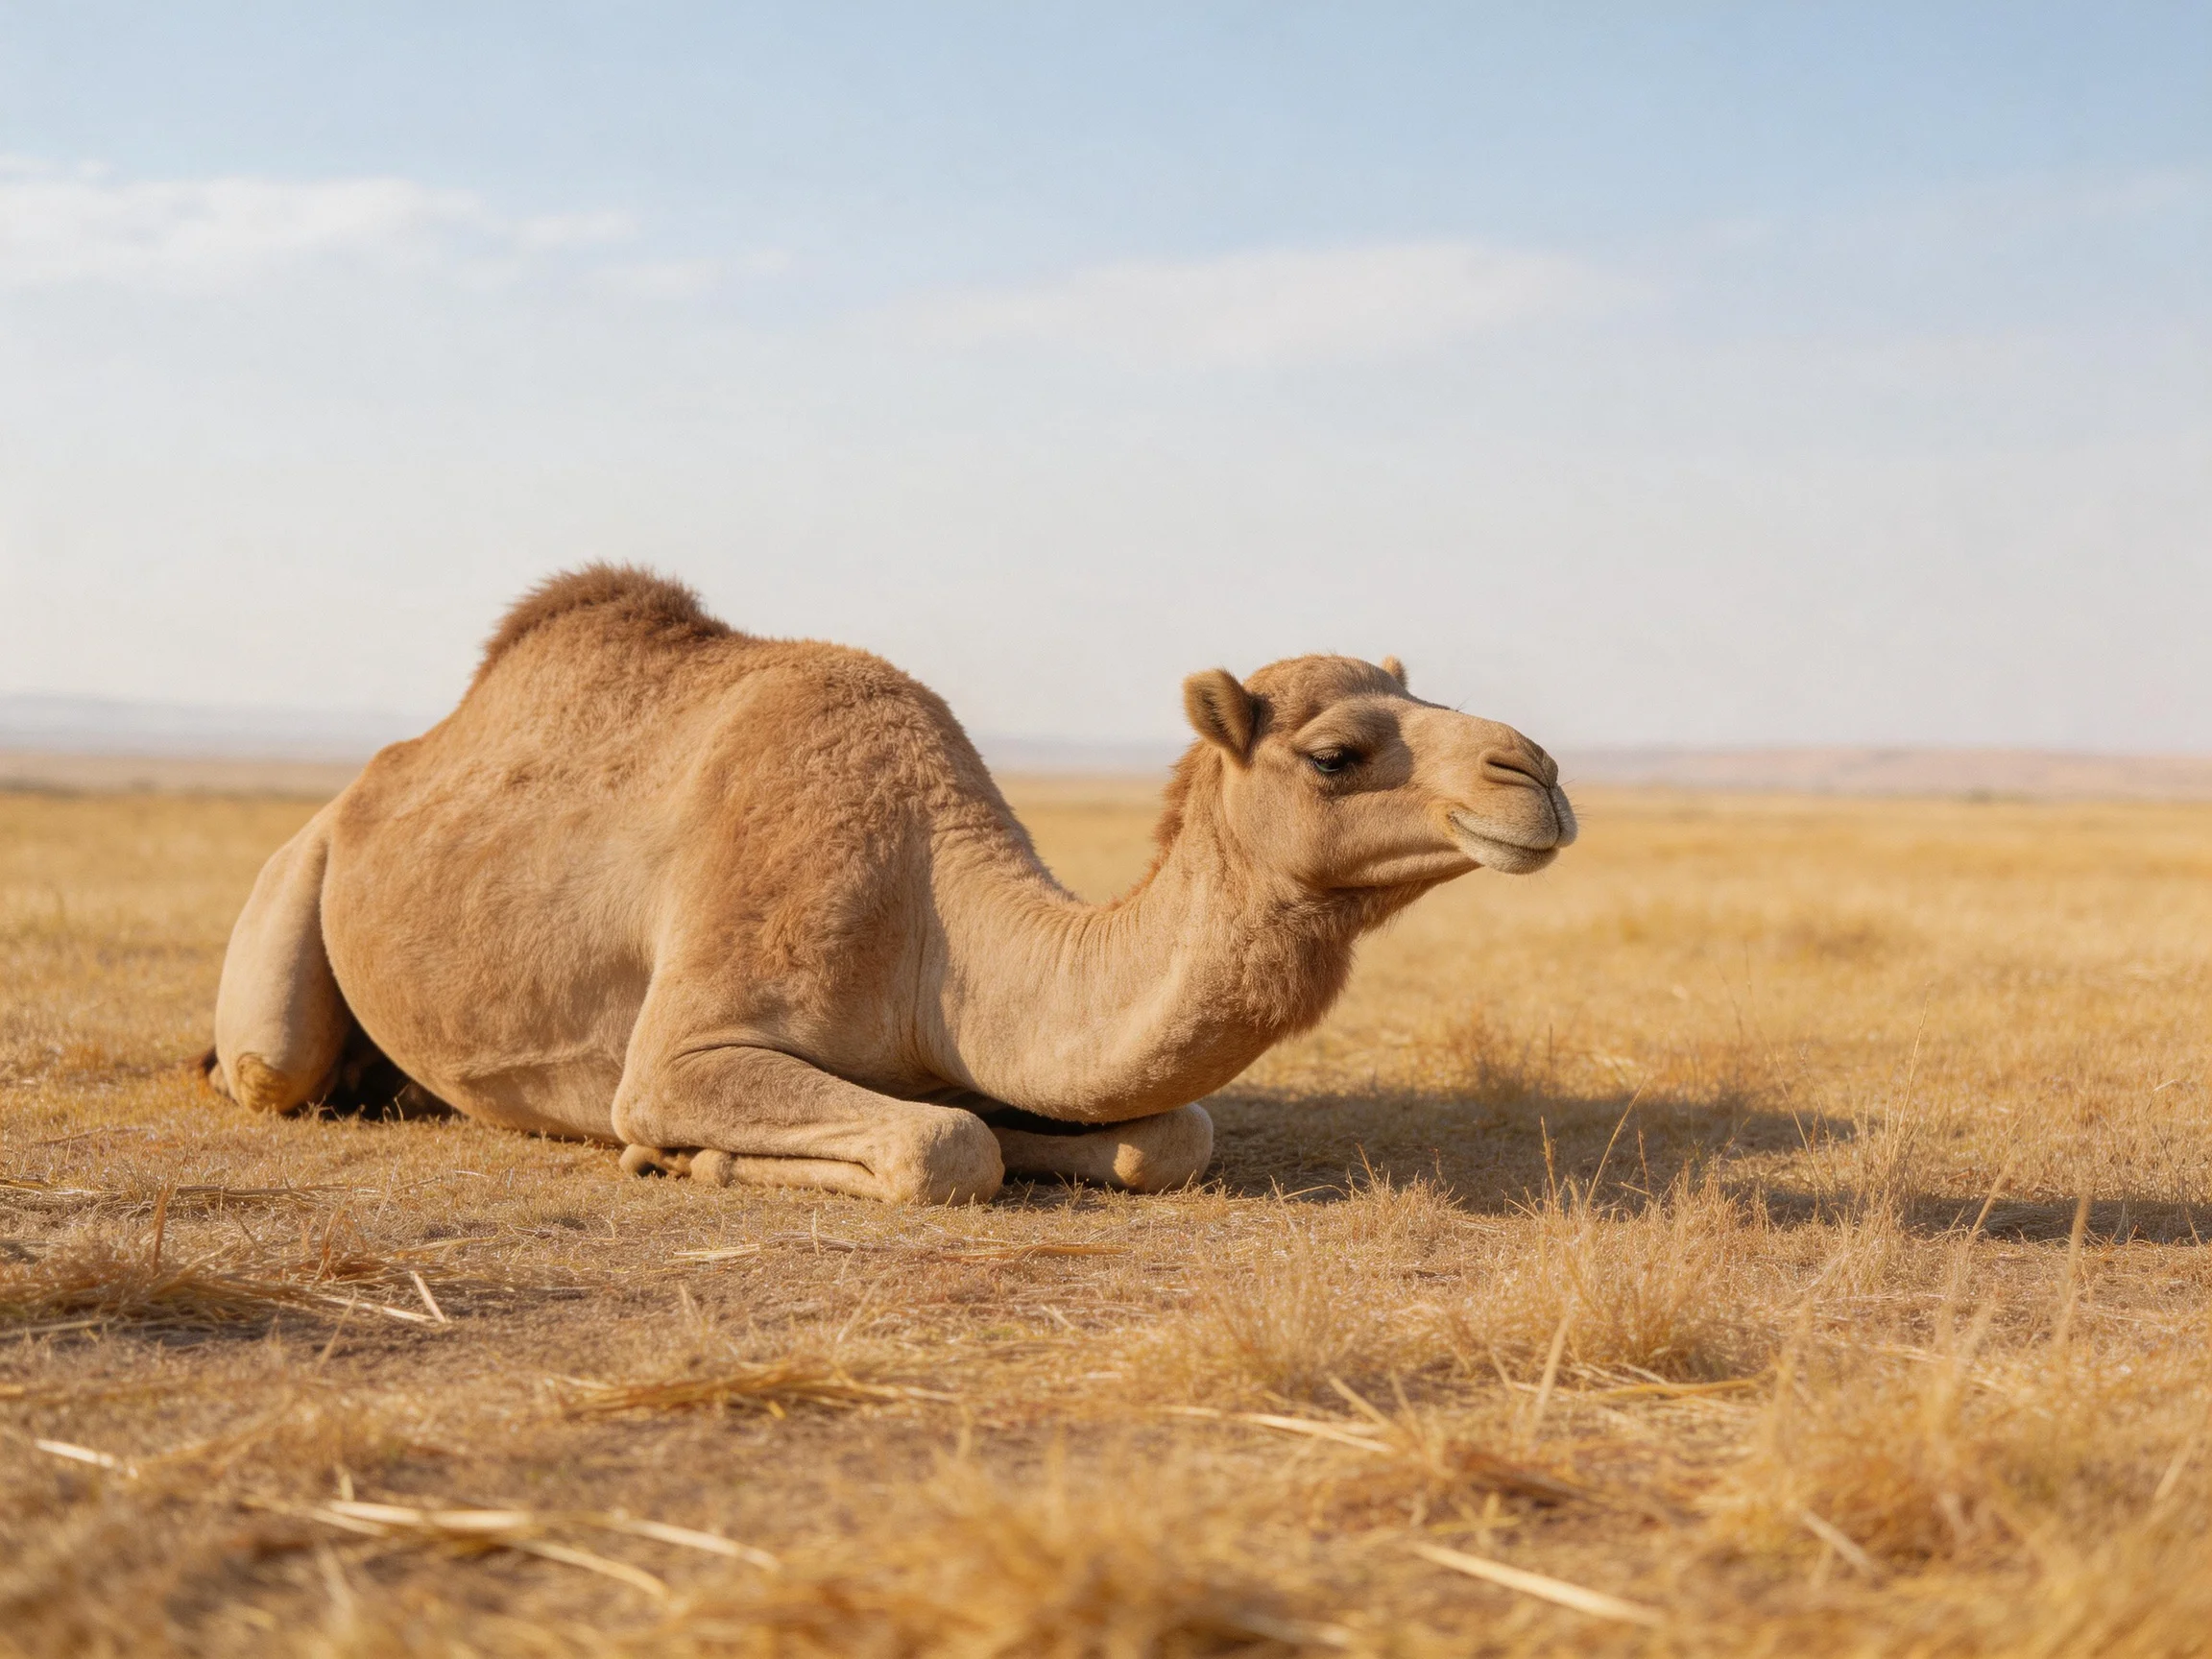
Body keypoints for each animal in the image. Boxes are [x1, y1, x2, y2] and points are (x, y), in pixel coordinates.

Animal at [206, 566, 1576, 1203]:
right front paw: (683, 1162)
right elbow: (945, 1148)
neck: (934, 922)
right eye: (1337, 753)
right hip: (295, 880)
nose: (1540, 773)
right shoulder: (689, 1047)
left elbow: (1166, 1138)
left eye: (1427, 697)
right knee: (268, 1064)